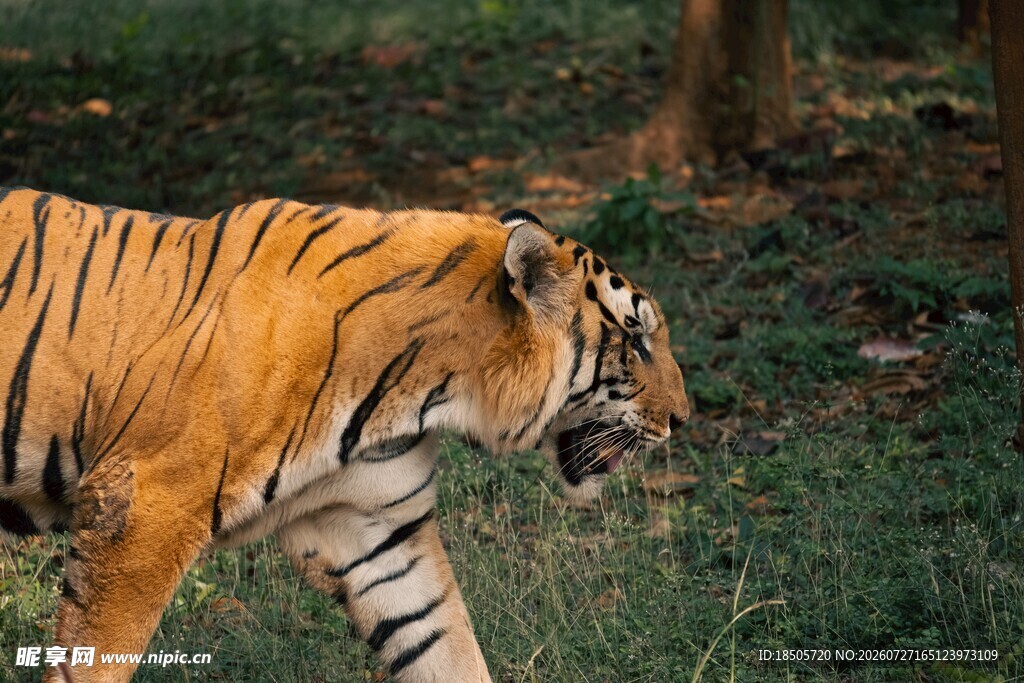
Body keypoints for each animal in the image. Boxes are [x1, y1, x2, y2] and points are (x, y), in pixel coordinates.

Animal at [0, 186, 688, 682]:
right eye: (636, 339)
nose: (683, 417)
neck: (430, 389)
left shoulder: (375, 528)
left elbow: (444, 643)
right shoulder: (144, 505)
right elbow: (96, 657)